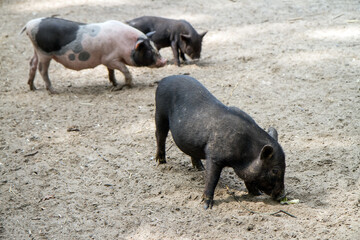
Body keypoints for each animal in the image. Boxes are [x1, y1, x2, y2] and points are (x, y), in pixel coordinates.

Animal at [22, 16, 167, 93]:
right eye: (149, 51)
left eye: (155, 47)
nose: (164, 61)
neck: (126, 44)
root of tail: (29, 24)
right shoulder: (110, 59)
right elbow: (125, 70)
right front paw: (126, 86)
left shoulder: (109, 59)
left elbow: (111, 71)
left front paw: (115, 84)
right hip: (44, 53)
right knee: (42, 69)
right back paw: (54, 91)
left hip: (36, 50)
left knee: (32, 63)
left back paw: (33, 87)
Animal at [155, 74, 286, 208]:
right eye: (275, 170)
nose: (283, 196)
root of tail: (165, 79)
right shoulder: (214, 156)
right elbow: (212, 179)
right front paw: (206, 206)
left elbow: (248, 179)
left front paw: (256, 194)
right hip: (160, 112)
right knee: (160, 135)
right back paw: (162, 162)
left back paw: (200, 168)